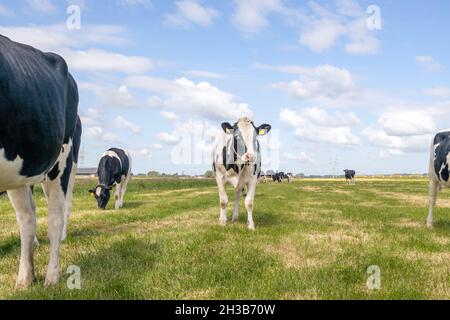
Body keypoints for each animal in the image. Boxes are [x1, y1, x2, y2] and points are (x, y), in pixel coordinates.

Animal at [0, 35, 81, 288]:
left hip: (61, 161)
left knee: (55, 216)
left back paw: (51, 277)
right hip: (19, 172)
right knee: (27, 219)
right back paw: (25, 278)